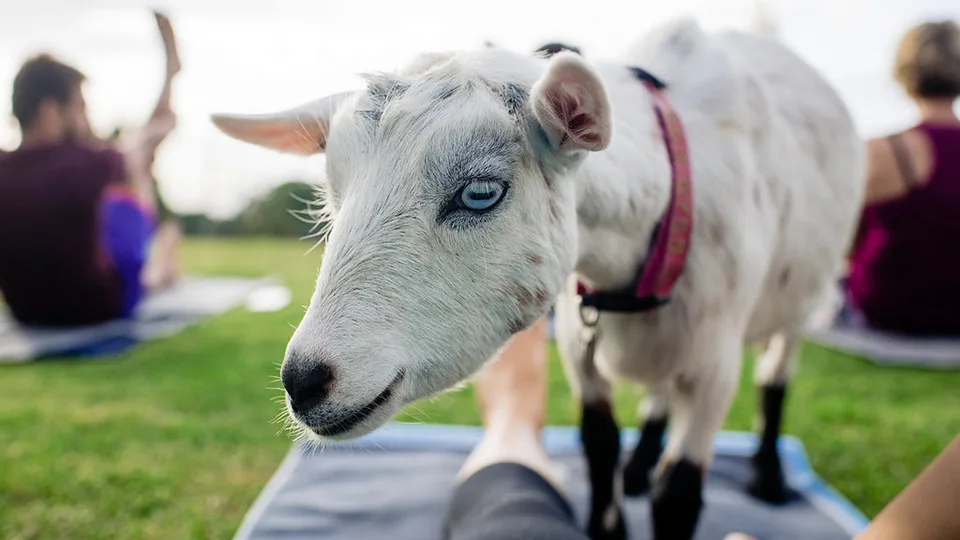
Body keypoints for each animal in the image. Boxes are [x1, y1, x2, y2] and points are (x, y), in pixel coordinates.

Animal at [212, 17, 864, 540]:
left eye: (480, 193)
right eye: (332, 192)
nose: (305, 382)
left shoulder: (715, 364)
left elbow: (678, 494)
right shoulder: (580, 341)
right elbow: (598, 446)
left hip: (803, 296)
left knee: (776, 372)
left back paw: (768, 476)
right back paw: (639, 465)